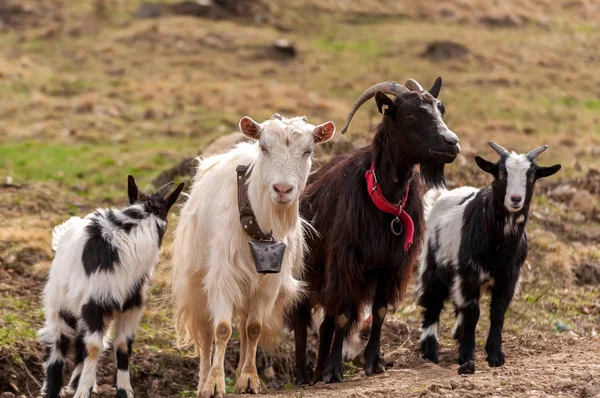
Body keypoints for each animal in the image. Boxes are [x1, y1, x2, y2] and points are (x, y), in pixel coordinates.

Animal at [39, 176, 184, 398]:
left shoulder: (131, 306)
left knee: (80, 342)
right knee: (57, 345)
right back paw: (55, 389)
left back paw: (76, 381)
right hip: (59, 305)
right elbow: (94, 348)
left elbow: (123, 346)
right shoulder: (93, 304)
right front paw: (83, 392)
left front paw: (124, 391)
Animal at [171, 113, 336, 396]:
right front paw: (214, 383)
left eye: (308, 150)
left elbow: (254, 329)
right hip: (196, 283)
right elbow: (222, 329)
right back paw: (202, 382)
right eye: (264, 147)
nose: (282, 189)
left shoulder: (268, 283)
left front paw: (248, 379)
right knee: (205, 332)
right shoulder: (222, 277)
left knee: (245, 325)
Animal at [288, 76, 462, 384]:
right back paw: (304, 376)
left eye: (441, 108)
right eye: (410, 113)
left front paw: (373, 362)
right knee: (302, 321)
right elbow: (344, 316)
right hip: (305, 274)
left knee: (326, 324)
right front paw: (334, 371)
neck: (385, 199)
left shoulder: (391, 265)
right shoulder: (346, 262)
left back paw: (318, 370)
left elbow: (379, 311)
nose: (451, 143)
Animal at [420, 142, 560, 374]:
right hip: (432, 264)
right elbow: (473, 311)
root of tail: (442, 196)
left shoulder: (508, 278)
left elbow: (498, 312)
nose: (515, 199)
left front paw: (494, 355)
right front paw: (467, 358)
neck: (499, 246)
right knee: (432, 301)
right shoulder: (469, 274)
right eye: (501, 174)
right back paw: (430, 351)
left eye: (531, 177)